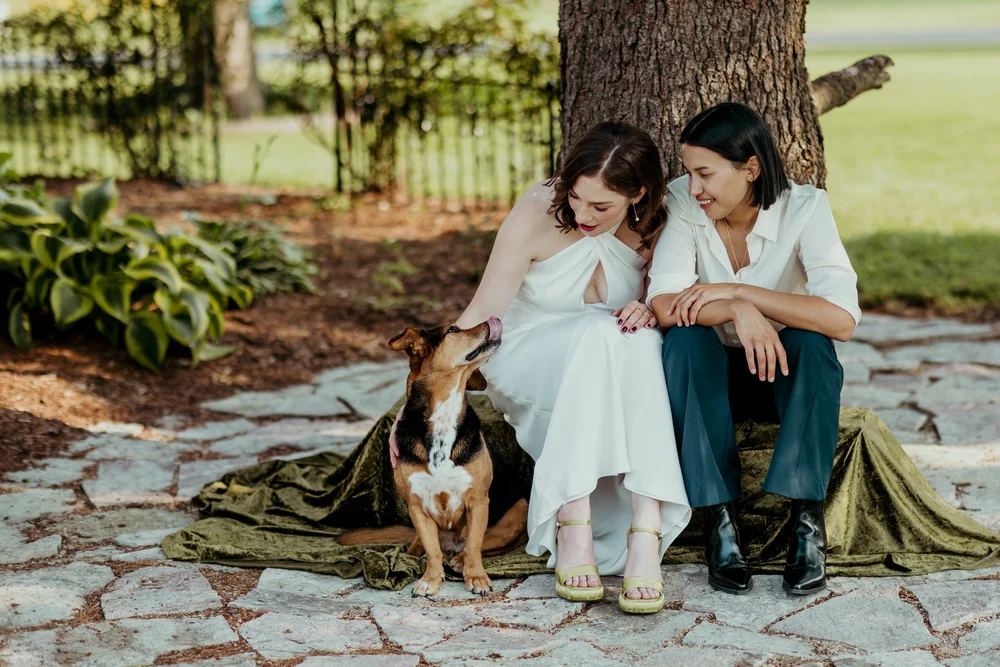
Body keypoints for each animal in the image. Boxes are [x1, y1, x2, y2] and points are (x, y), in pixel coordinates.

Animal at [338, 316, 528, 596]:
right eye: (453, 330)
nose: (495, 319)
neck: (444, 416)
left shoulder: (478, 501)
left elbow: (474, 545)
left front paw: (476, 576)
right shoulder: (417, 505)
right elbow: (433, 550)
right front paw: (430, 579)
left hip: (517, 511)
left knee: (480, 544)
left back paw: (459, 560)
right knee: (426, 544)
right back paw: (414, 552)